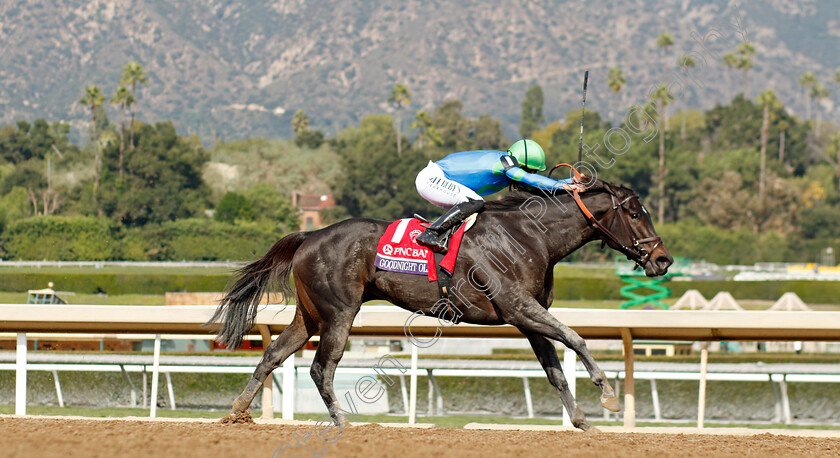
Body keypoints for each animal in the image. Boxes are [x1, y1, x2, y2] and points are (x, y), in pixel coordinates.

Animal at [207, 177, 672, 432]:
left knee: (272, 354)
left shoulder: (526, 318)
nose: (663, 259)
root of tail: (309, 235)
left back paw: (236, 412)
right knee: (322, 368)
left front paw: (581, 420)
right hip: (339, 312)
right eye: (635, 213)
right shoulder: (519, 307)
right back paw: (343, 422)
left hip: (309, 315)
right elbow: (576, 338)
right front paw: (608, 395)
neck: (532, 235)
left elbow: (556, 371)